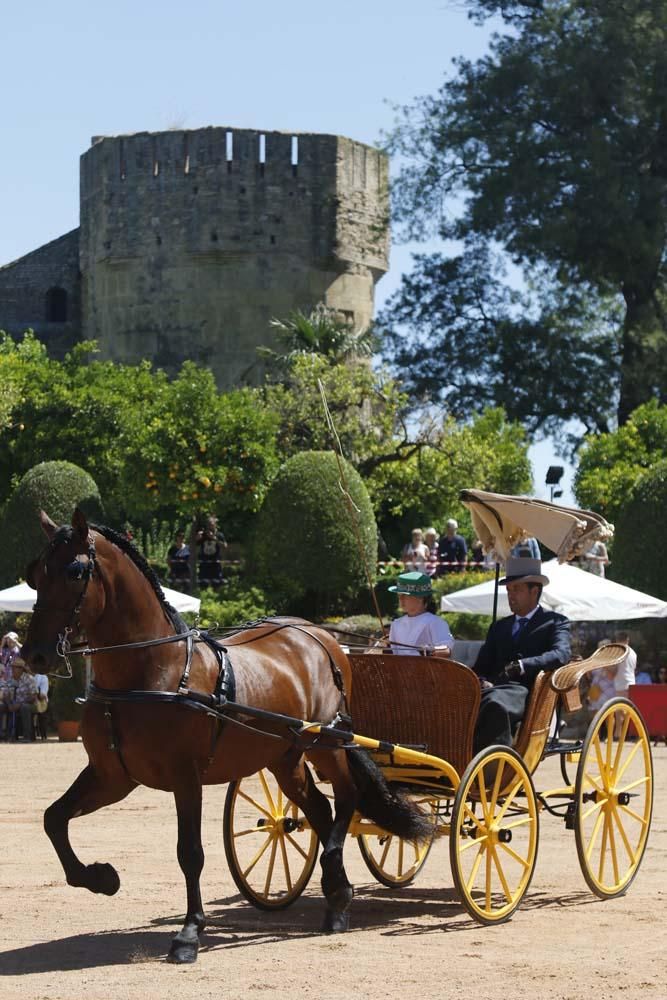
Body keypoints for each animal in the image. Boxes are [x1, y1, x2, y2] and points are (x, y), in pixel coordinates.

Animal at [22, 512, 434, 964]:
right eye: (34, 573)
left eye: (75, 571)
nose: (34, 654)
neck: (151, 671)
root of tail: (320, 637)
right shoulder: (111, 776)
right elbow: (54, 819)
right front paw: (101, 877)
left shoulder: (185, 778)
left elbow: (190, 853)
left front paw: (188, 934)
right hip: (285, 756)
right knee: (320, 809)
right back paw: (336, 894)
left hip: (326, 744)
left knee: (345, 798)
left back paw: (337, 884)